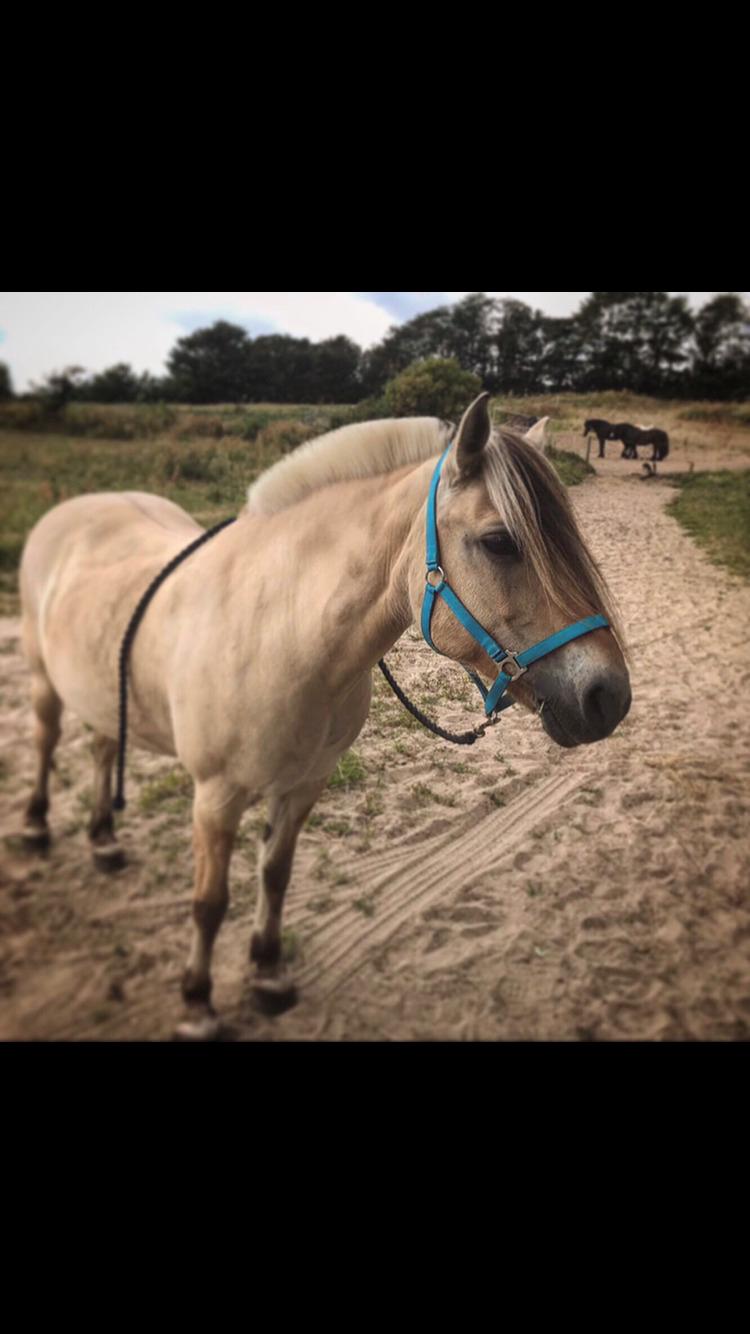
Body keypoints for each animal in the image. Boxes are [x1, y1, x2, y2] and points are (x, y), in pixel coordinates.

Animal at [19, 389, 624, 1035]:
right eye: (499, 542)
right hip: (42, 676)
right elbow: (209, 904)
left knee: (103, 744)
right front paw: (198, 1004)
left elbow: (275, 876)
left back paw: (104, 842)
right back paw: (35, 828)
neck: (281, 633)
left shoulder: (305, 785)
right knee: (46, 737)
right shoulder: (215, 798)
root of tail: (73, 510)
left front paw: (267, 976)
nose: (608, 696)